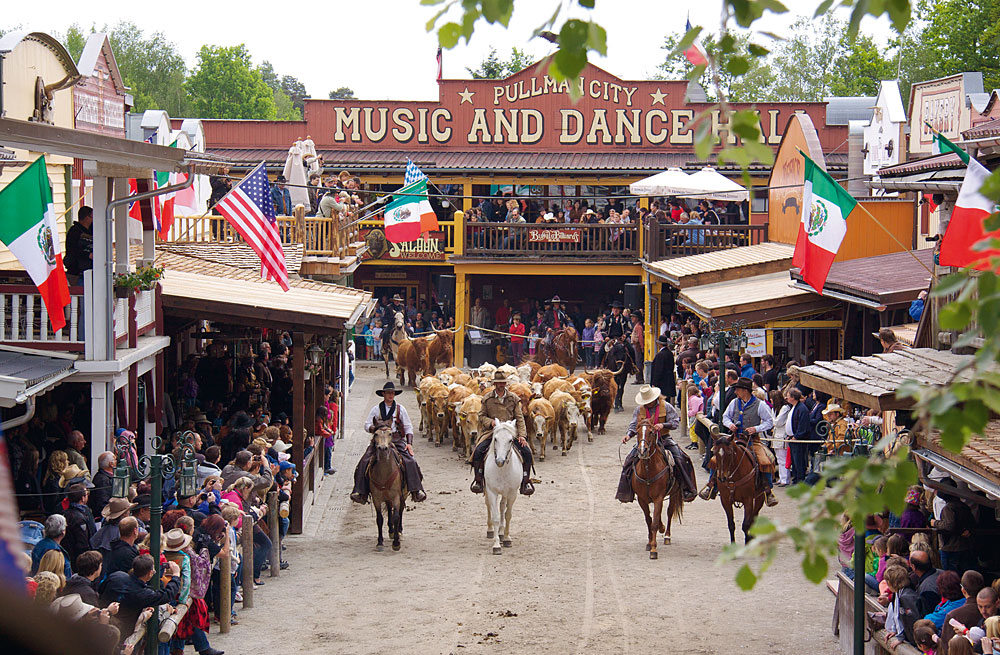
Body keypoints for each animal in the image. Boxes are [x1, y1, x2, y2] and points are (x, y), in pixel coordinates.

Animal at [484, 422, 524, 556]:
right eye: (495, 439)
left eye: (510, 440)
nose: (500, 461)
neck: (502, 470)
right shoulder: (492, 492)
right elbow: (496, 517)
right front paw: (496, 545)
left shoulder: (512, 493)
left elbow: (508, 515)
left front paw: (506, 538)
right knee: (489, 506)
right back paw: (491, 531)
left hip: (506, 493)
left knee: (502, 506)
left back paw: (501, 533)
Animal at [632, 418, 688, 560]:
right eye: (637, 432)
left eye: (651, 432)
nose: (642, 450)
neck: (648, 471)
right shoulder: (642, 499)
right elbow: (649, 520)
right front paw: (649, 543)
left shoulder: (658, 498)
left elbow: (655, 522)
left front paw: (653, 549)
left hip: (674, 494)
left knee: (669, 512)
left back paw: (667, 535)